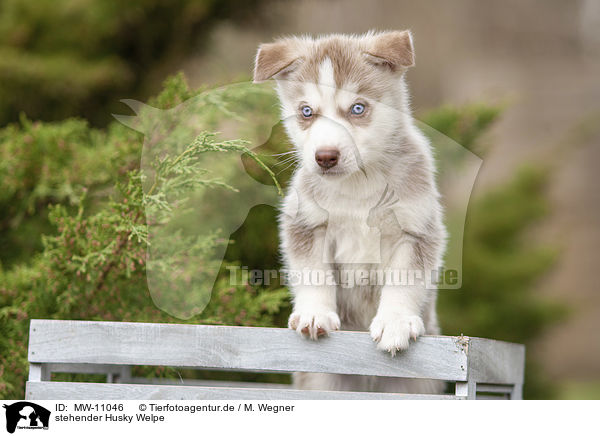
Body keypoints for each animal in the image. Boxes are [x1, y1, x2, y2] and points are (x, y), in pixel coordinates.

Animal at [252, 30, 446, 392]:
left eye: (357, 108)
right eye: (306, 112)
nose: (325, 156)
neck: (358, 186)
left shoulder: (416, 229)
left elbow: (405, 279)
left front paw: (395, 321)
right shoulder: (305, 224)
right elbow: (313, 272)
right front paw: (315, 312)